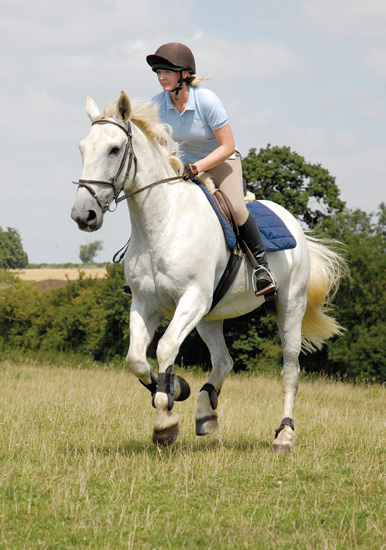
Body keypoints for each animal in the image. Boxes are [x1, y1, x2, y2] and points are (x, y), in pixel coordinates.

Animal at [70, 89, 346, 452]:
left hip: (288, 305)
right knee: (223, 361)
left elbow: (165, 347)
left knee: (290, 370)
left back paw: (284, 435)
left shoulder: (191, 299)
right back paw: (205, 410)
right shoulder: (145, 304)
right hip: (211, 316)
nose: (83, 215)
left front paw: (166, 420)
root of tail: (292, 222)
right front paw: (176, 389)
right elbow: (136, 359)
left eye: (115, 149)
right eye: (82, 148)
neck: (162, 222)